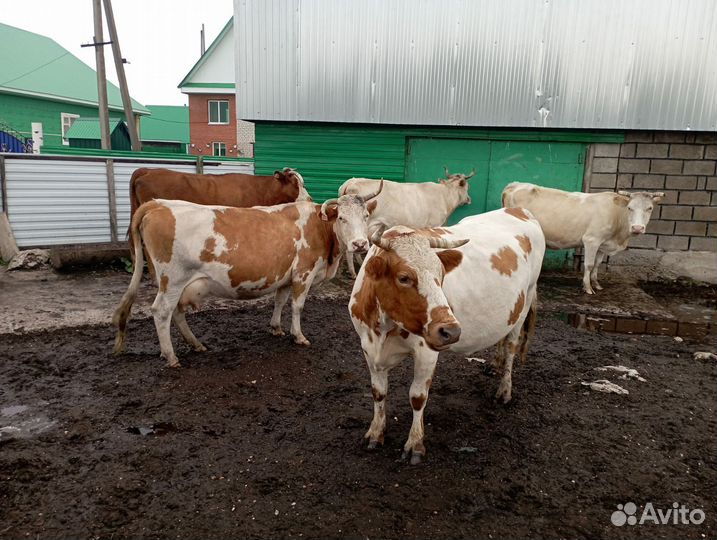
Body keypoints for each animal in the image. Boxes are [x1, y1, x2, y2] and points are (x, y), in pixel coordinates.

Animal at [112, 182, 383, 368]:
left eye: (366, 216)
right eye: (342, 218)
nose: (360, 244)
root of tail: (158, 204)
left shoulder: (285, 275)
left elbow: (279, 301)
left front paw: (276, 327)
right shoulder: (303, 273)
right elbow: (297, 306)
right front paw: (298, 336)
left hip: (182, 284)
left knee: (177, 312)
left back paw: (195, 344)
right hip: (172, 280)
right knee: (161, 311)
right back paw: (171, 356)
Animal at [338, 168, 475, 277]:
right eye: (467, 187)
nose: (469, 199)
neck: (445, 195)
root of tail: (351, 181)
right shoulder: (434, 225)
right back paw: (353, 273)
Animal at [349, 207, 546, 463]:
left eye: (441, 275)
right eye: (404, 278)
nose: (451, 331)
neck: (383, 328)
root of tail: (519, 209)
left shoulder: (426, 353)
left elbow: (417, 396)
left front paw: (415, 444)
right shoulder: (368, 348)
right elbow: (378, 393)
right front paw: (375, 432)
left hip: (525, 301)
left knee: (512, 345)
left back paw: (504, 390)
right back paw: (495, 363)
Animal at [501, 182, 664, 294]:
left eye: (649, 208)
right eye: (630, 208)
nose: (637, 228)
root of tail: (515, 184)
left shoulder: (604, 244)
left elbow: (598, 264)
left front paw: (596, 283)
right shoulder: (591, 240)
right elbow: (589, 264)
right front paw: (588, 288)